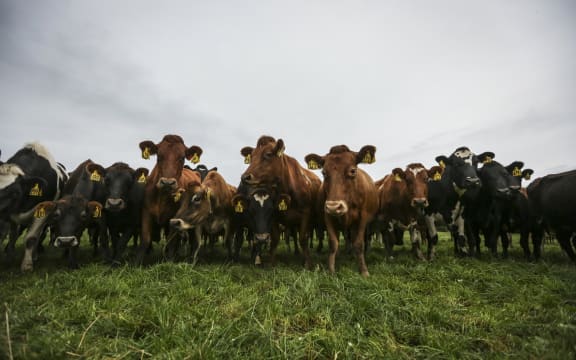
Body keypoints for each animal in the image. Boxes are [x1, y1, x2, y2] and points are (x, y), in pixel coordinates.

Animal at [137, 135, 204, 264]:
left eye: (182, 158)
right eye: (159, 156)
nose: (167, 182)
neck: (162, 197)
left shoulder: (174, 217)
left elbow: (172, 242)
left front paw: (169, 262)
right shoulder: (146, 212)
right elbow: (145, 240)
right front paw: (138, 263)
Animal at [238, 135, 320, 268]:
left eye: (268, 154)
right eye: (252, 156)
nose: (245, 177)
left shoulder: (306, 215)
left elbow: (303, 238)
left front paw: (308, 263)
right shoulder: (274, 215)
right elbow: (275, 239)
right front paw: (271, 263)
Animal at [304, 145, 380, 278]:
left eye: (353, 171)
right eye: (324, 172)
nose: (334, 206)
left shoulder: (363, 218)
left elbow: (359, 244)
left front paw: (363, 271)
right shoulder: (328, 216)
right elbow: (333, 243)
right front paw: (331, 270)